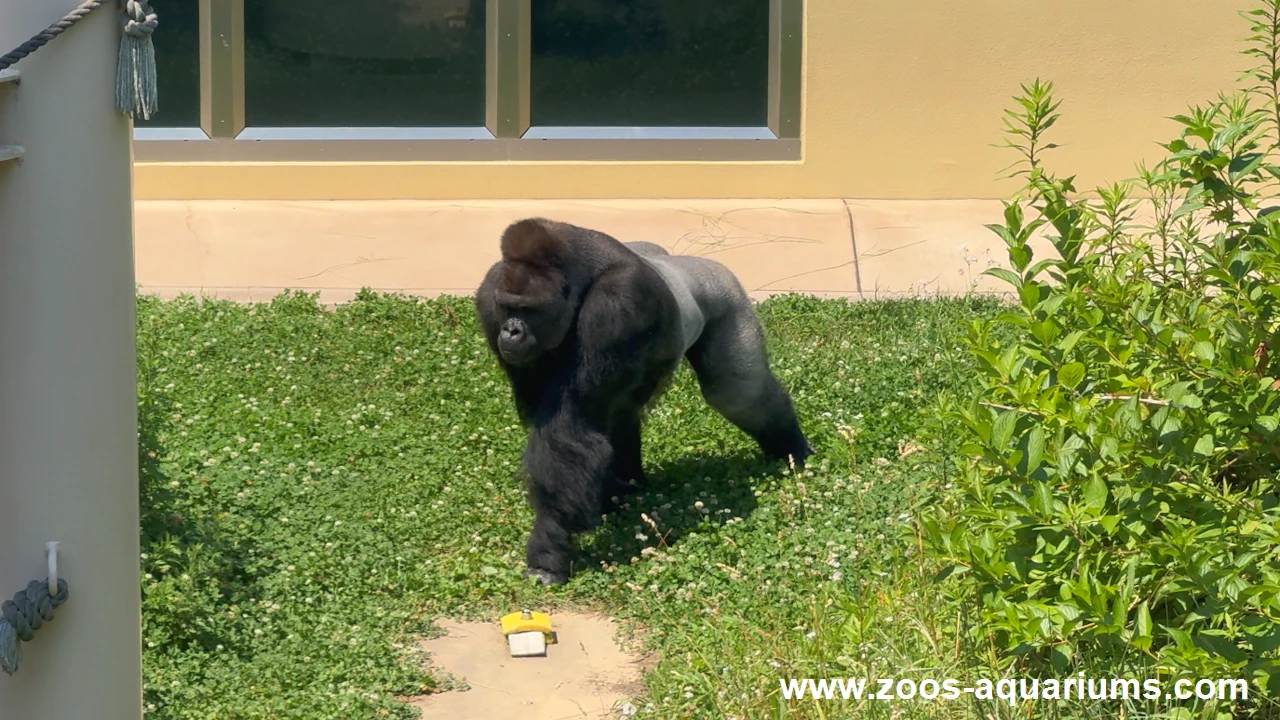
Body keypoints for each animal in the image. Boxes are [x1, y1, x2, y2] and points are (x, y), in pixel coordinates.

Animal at [471, 219, 808, 584]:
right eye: (508, 307)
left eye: (528, 309)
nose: (511, 331)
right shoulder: (489, 298)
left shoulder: (616, 301)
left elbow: (566, 431)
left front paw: (549, 550)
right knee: (625, 410)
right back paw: (628, 484)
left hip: (724, 290)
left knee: (738, 391)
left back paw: (791, 447)